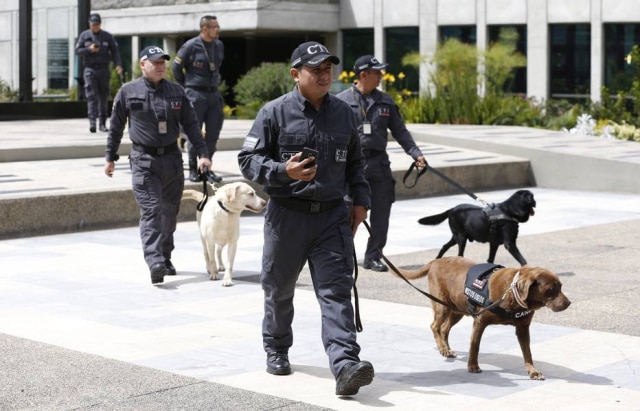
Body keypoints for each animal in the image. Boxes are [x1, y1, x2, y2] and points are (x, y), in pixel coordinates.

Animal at [398, 258, 572, 380]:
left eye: (561, 286)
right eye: (551, 289)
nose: (569, 303)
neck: (511, 295)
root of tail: (435, 261)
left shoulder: (523, 328)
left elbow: (527, 352)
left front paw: (533, 372)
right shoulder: (479, 322)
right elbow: (475, 346)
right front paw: (473, 366)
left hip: (457, 309)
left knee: (444, 328)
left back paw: (446, 349)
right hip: (442, 305)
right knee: (435, 326)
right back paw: (443, 349)